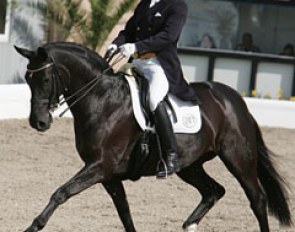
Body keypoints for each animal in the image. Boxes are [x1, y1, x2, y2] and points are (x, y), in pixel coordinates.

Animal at [14, 42, 294, 232]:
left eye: (45, 78)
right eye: (27, 78)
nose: (38, 122)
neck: (103, 100)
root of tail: (233, 98)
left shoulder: (100, 167)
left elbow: (61, 193)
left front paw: (33, 226)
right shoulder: (108, 175)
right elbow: (124, 212)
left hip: (238, 157)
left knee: (257, 199)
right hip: (190, 165)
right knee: (214, 190)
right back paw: (189, 224)